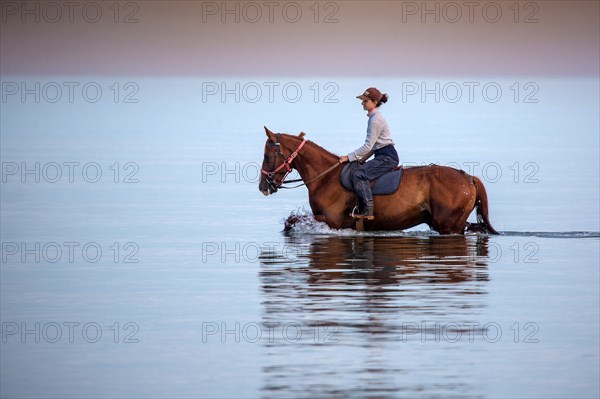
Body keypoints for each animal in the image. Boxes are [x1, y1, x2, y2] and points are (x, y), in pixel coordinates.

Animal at [258, 127, 496, 234]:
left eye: (267, 156)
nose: (263, 187)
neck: (326, 176)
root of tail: (468, 178)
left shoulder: (333, 221)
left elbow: (293, 220)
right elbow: (291, 221)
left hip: (449, 225)